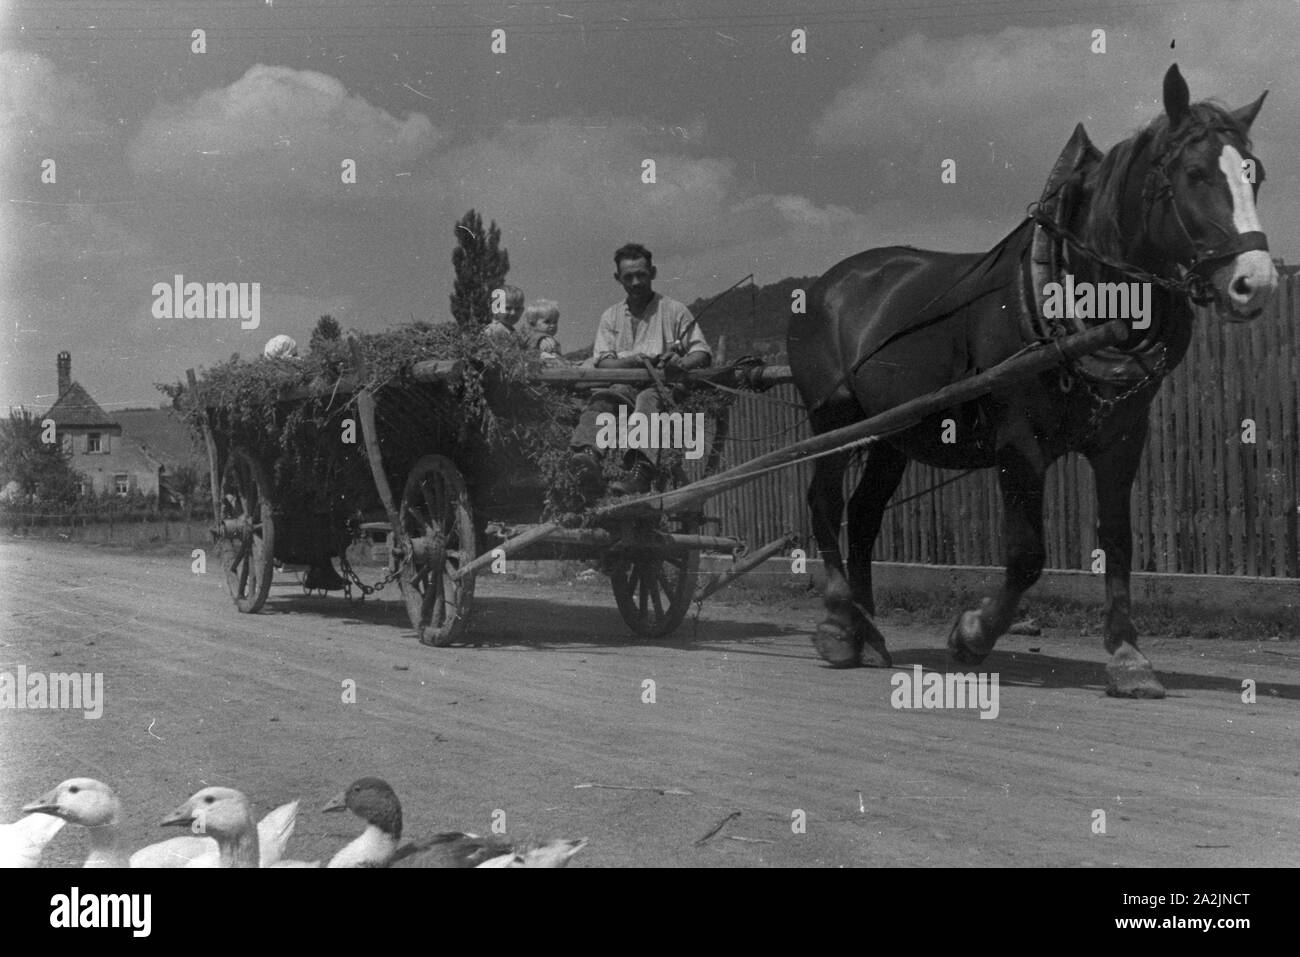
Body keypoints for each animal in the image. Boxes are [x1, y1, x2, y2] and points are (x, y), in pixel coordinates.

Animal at [785, 65, 1274, 696]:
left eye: (1255, 173)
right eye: (1194, 173)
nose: (1255, 282)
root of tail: (827, 284)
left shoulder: (1122, 440)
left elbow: (1119, 540)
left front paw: (1128, 655)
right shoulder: (1019, 445)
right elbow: (1026, 554)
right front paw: (971, 634)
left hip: (892, 435)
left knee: (864, 515)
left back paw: (866, 631)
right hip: (835, 419)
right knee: (823, 503)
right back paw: (840, 621)